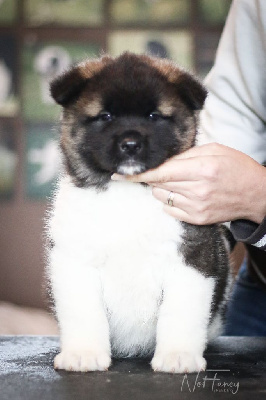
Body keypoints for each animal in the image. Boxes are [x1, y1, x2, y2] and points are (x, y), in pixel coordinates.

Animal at [47, 51, 231, 374]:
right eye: (105, 117)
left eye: (153, 116)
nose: (130, 144)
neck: (129, 192)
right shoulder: (75, 260)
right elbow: (84, 312)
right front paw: (83, 353)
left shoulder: (192, 258)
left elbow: (181, 312)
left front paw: (178, 355)